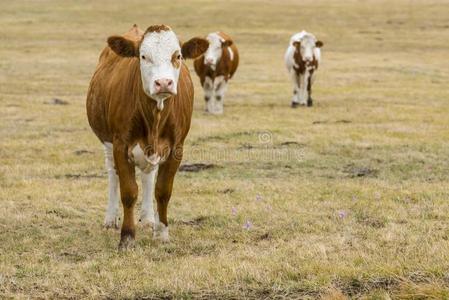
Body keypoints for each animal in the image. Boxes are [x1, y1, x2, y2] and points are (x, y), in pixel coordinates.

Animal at [86, 23, 208, 250]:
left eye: (177, 55)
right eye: (143, 56)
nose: (164, 83)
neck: (155, 118)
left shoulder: (177, 148)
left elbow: (162, 190)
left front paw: (161, 233)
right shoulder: (120, 145)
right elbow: (128, 192)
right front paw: (127, 237)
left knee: (148, 176)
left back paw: (148, 218)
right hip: (107, 143)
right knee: (113, 174)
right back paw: (111, 218)